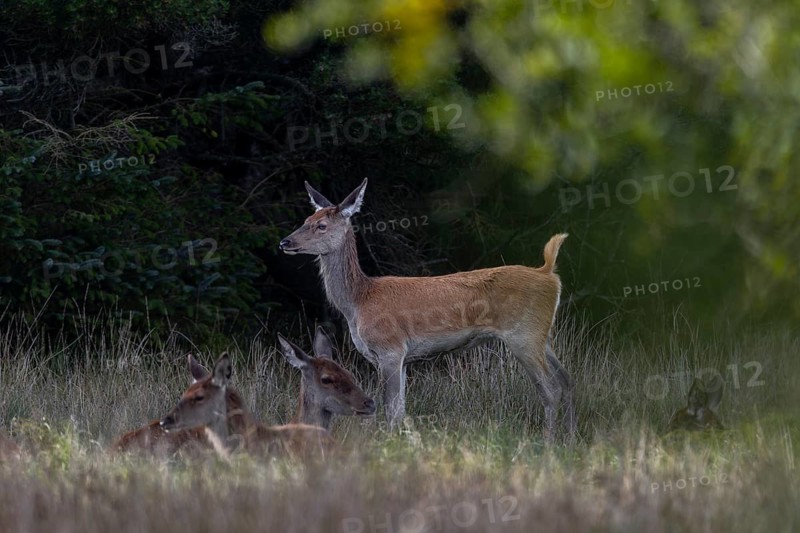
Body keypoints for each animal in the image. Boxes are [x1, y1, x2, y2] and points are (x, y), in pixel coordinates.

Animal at [279, 178, 576, 442]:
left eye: (321, 225)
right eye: (306, 219)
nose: (285, 242)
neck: (358, 301)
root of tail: (548, 273)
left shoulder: (390, 348)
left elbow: (391, 408)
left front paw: (388, 445)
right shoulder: (402, 358)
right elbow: (400, 409)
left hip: (523, 335)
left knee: (550, 389)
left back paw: (549, 444)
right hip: (542, 335)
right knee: (566, 380)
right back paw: (569, 439)